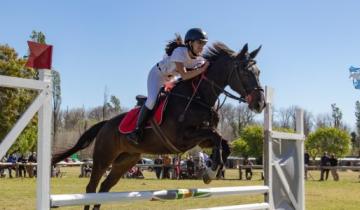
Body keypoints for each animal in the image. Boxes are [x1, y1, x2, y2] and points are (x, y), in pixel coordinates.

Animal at [52, 41, 268, 209]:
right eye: (244, 71)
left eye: (258, 72)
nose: (260, 104)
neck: (198, 96)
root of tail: (105, 124)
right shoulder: (182, 138)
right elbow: (216, 137)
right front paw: (211, 170)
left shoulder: (202, 139)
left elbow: (223, 143)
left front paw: (211, 170)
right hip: (103, 158)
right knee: (91, 188)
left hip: (126, 160)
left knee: (104, 188)